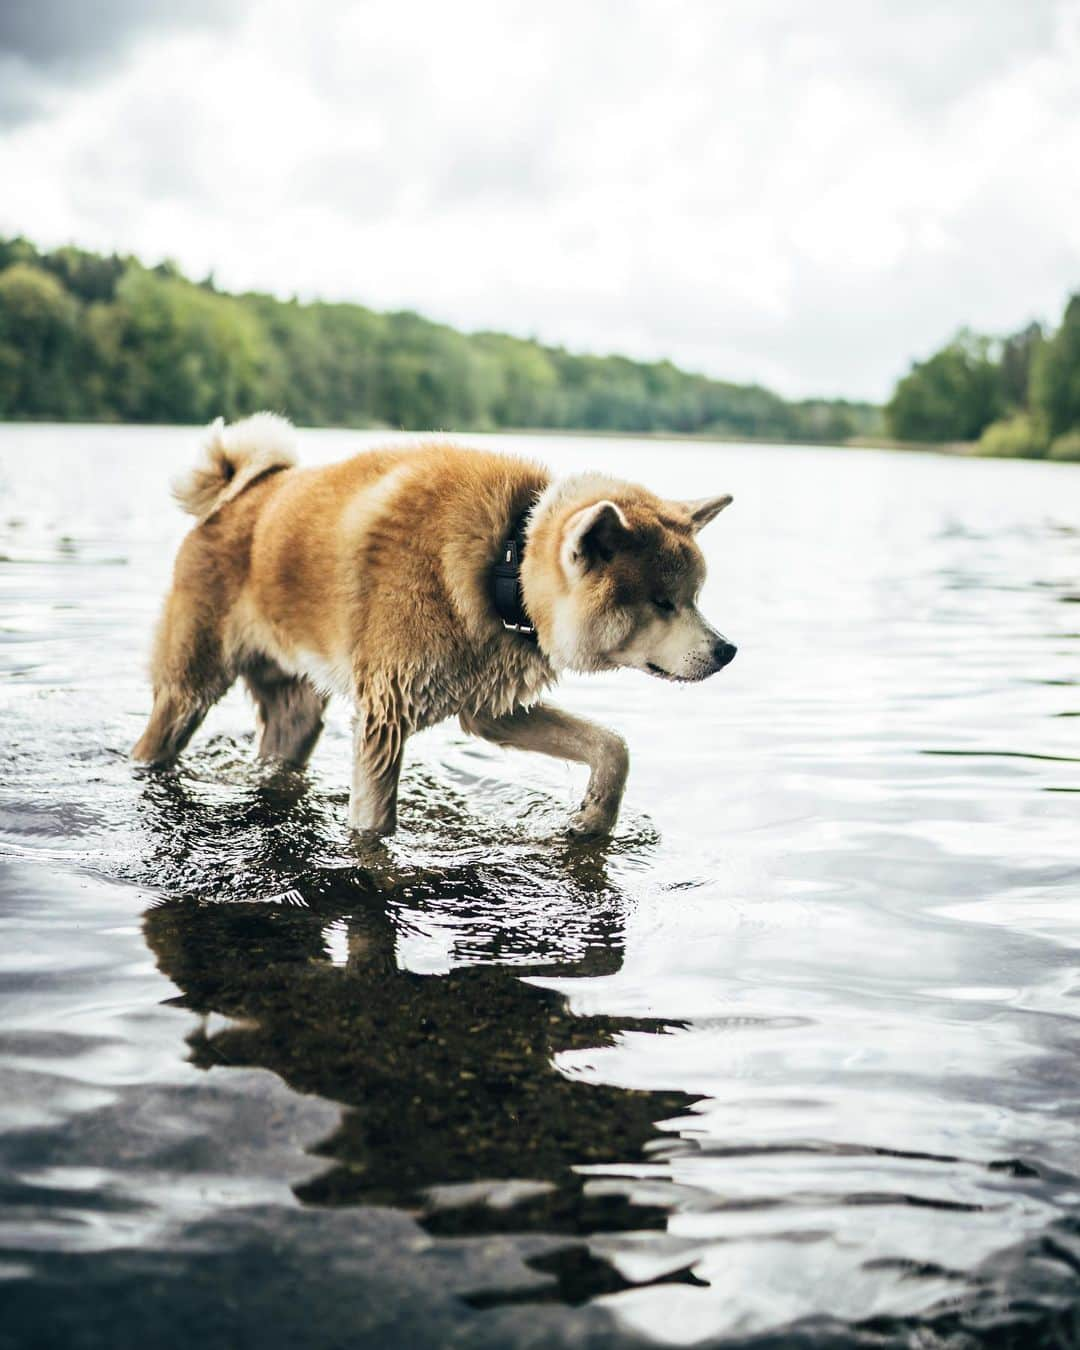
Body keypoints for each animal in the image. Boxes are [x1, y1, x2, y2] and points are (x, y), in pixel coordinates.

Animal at [132, 413, 734, 831]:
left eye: (695, 597)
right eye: (662, 602)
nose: (727, 650)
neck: (505, 563)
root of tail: (236, 496)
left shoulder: (490, 708)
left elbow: (612, 747)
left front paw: (592, 817)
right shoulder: (385, 716)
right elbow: (375, 828)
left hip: (295, 712)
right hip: (189, 688)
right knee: (159, 736)